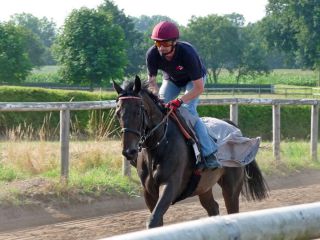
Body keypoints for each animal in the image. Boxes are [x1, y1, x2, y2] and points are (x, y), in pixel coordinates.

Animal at [112, 76, 268, 228]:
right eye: (118, 113)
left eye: (138, 111)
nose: (129, 151)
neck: (158, 145)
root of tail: (231, 125)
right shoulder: (149, 191)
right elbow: (157, 220)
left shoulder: (170, 185)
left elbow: (153, 220)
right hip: (204, 186)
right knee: (213, 208)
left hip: (231, 186)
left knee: (232, 208)